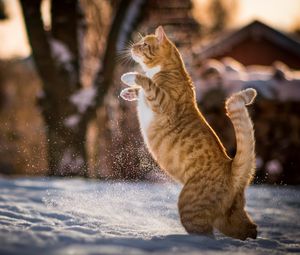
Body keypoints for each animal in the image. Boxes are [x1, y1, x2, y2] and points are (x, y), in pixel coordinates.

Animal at [119, 25, 258, 239]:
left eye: (144, 44)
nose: (132, 47)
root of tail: (230, 166)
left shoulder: (163, 102)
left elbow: (146, 82)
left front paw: (128, 77)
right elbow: (141, 89)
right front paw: (127, 92)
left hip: (190, 206)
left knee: (205, 235)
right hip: (230, 220)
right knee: (250, 229)